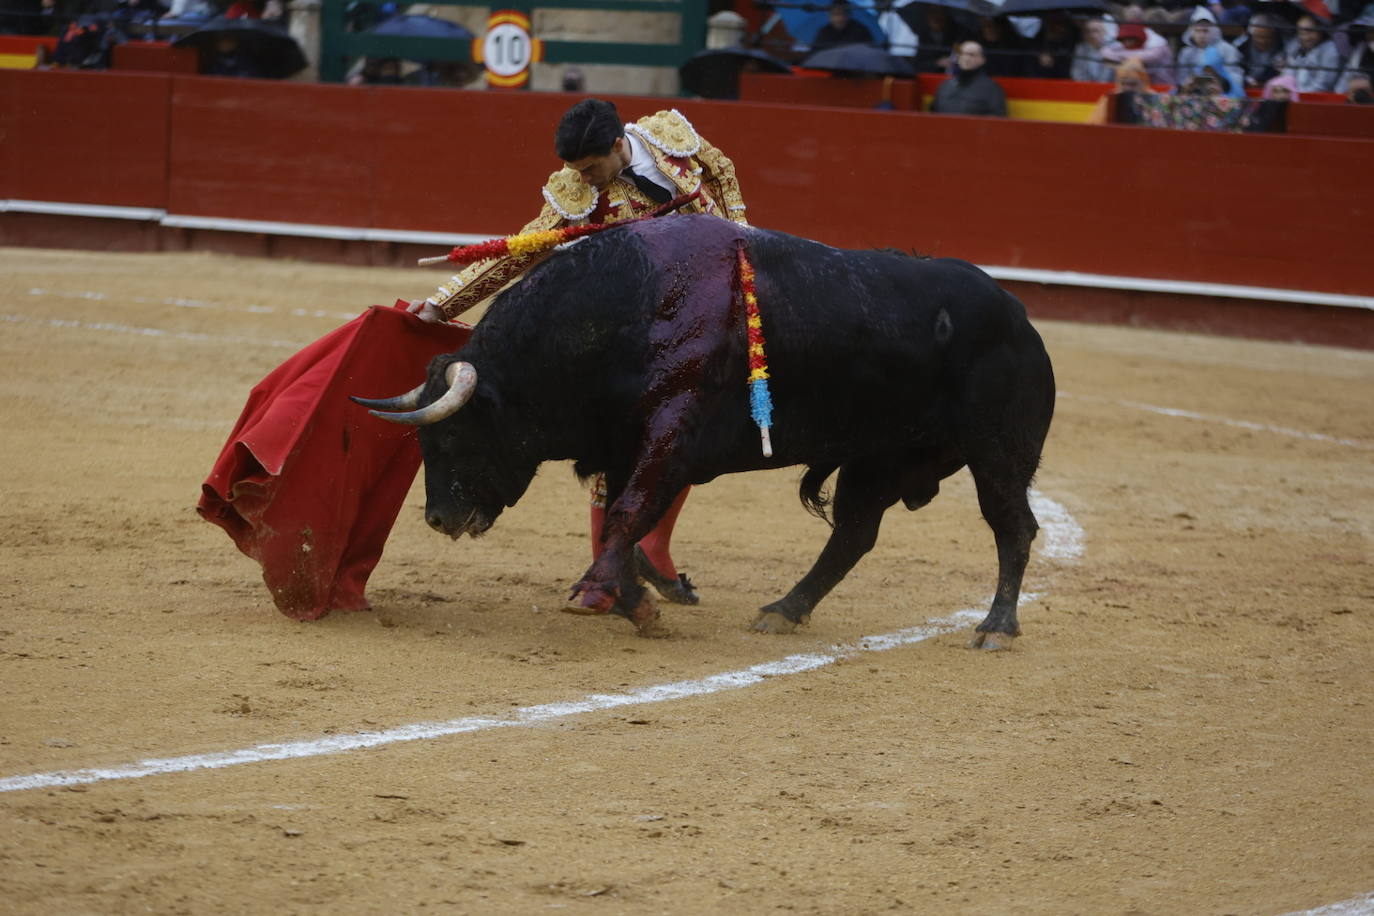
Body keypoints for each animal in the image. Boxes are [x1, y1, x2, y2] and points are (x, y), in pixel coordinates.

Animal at [354, 214, 1049, 645]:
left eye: (453, 436)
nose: (438, 519)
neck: (630, 306)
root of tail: (1017, 314)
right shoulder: (624, 447)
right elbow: (620, 520)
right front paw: (630, 597)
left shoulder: (671, 433)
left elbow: (629, 513)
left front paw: (625, 600)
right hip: (877, 456)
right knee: (854, 533)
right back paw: (784, 611)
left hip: (998, 451)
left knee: (1012, 526)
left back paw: (996, 627)